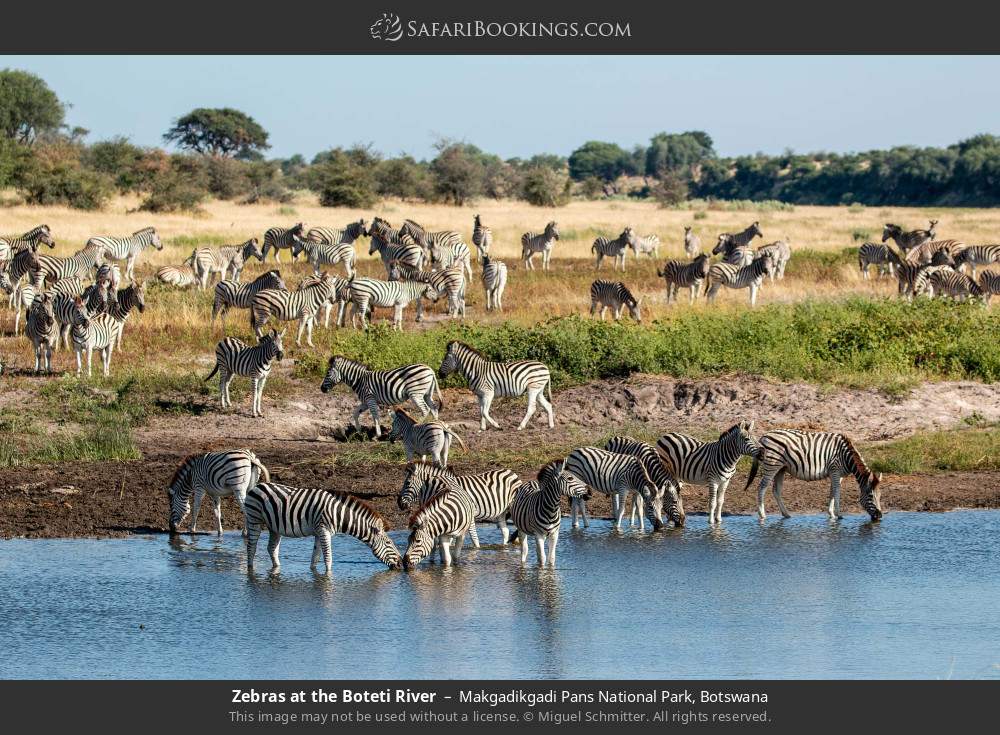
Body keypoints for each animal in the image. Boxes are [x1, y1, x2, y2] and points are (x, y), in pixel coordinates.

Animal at [244, 482, 401, 573]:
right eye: (389, 543)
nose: (401, 563)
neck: (338, 514)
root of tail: (257, 486)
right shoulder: (323, 530)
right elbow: (328, 558)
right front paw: (328, 578)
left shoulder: (319, 533)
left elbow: (315, 558)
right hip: (254, 519)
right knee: (251, 547)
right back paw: (250, 572)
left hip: (274, 527)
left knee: (272, 549)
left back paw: (277, 569)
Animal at [744, 429, 883, 522]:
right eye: (871, 496)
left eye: (880, 496)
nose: (880, 516)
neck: (846, 456)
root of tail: (764, 436)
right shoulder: (835, 470)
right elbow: (837, 491)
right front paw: (838, 515)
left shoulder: (837, 474)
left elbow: (832, 491)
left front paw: (831, 513)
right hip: (771, 465)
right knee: (762, 487)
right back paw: (762, 515)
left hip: (781, 468)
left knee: (776, 490)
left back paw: (786, 514)